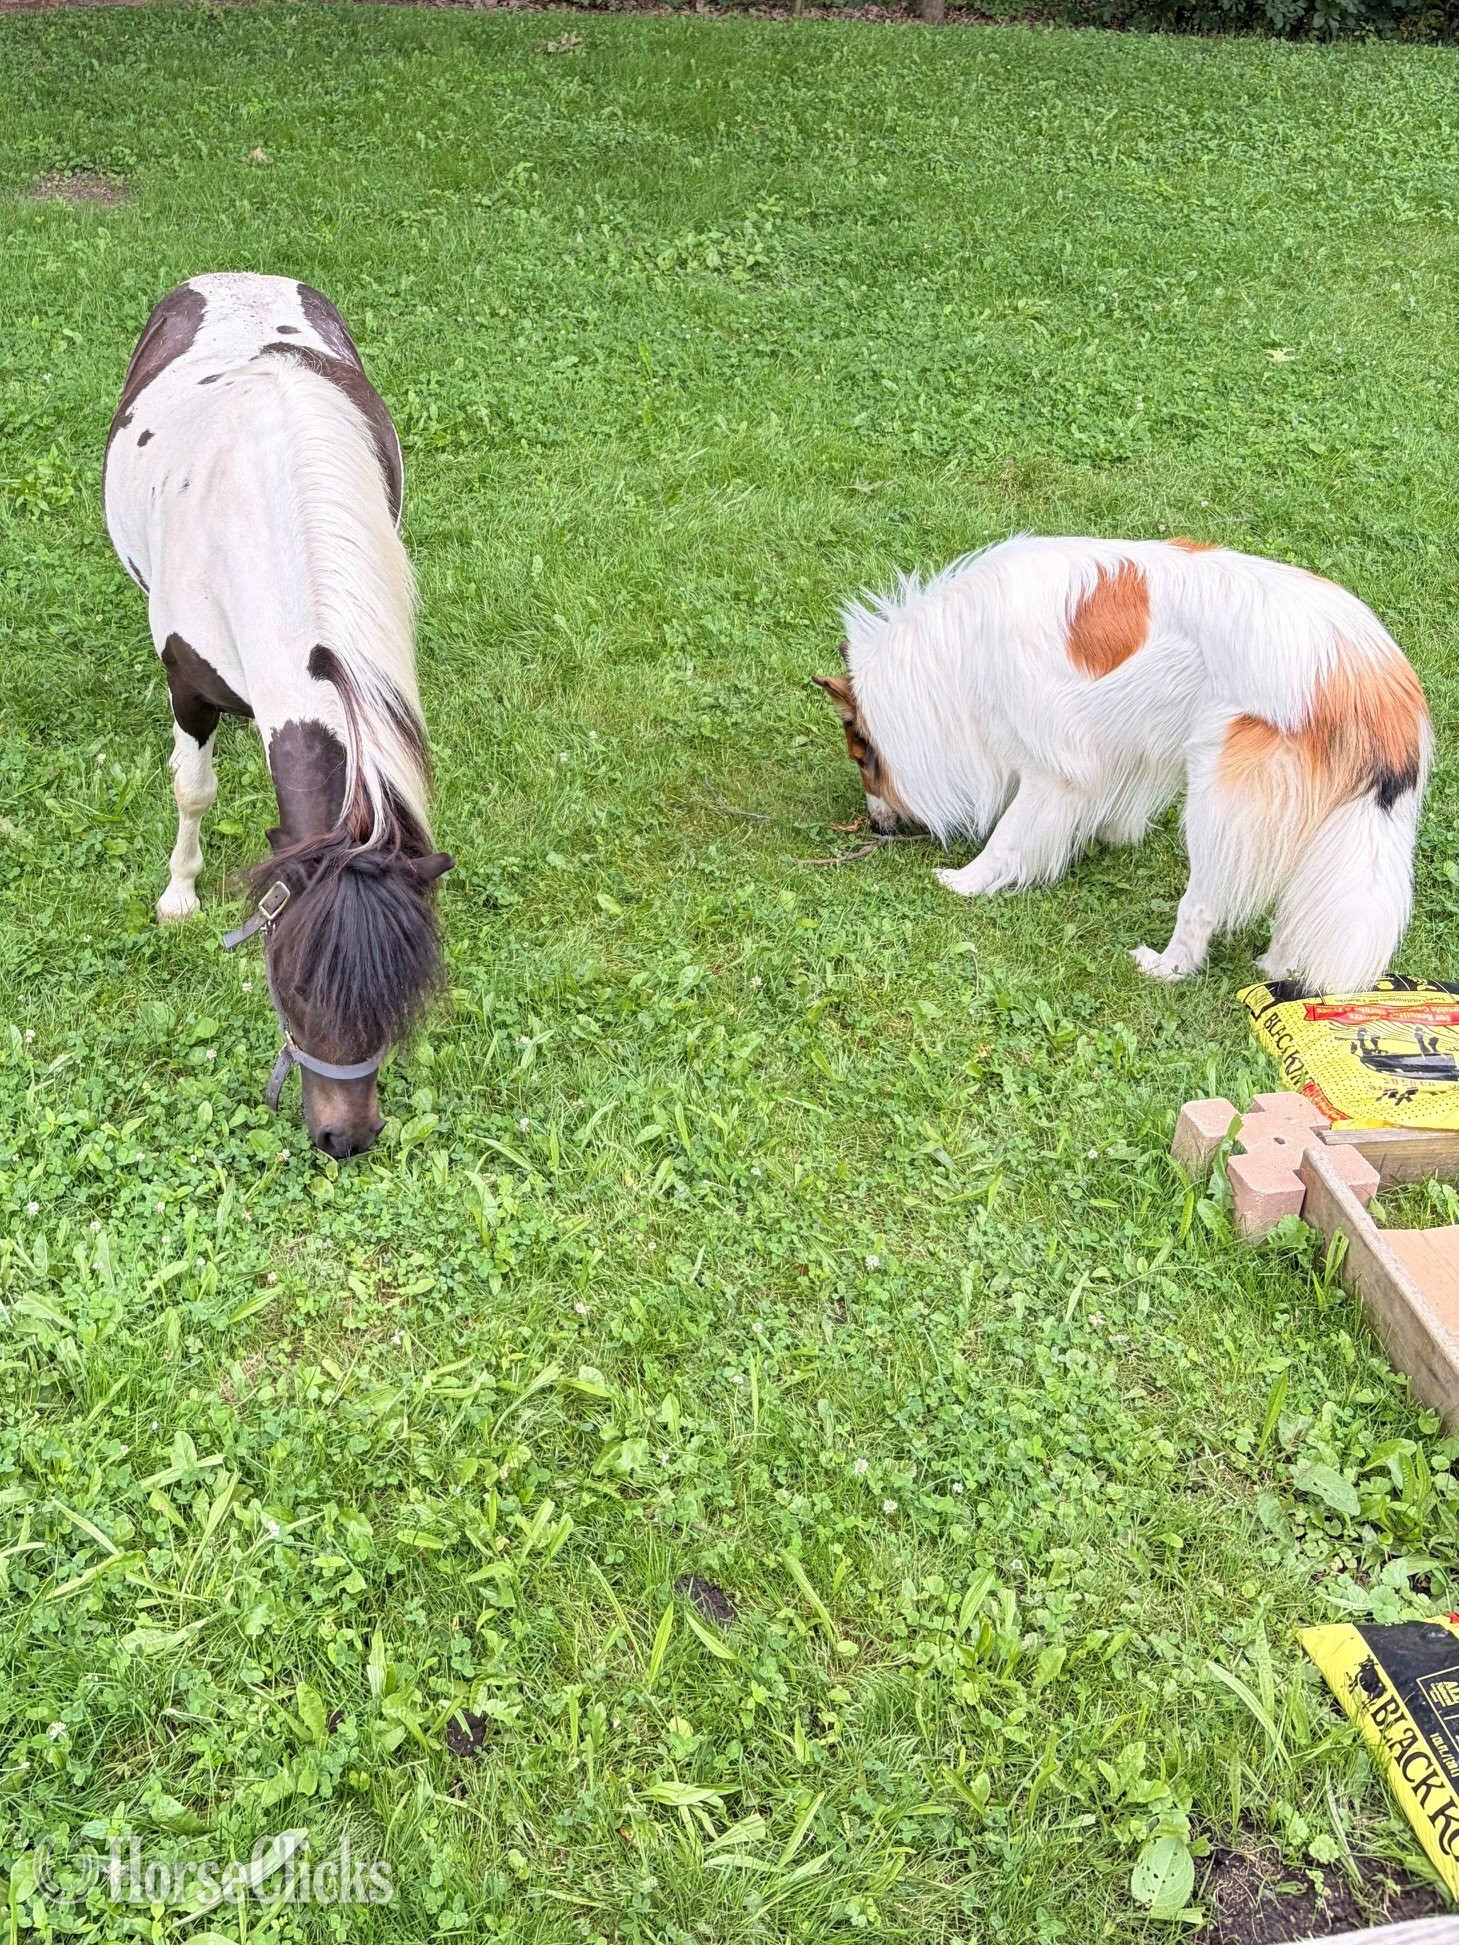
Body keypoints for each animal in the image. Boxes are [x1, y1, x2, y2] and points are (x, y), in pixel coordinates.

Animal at [104, 273, 452, 1158]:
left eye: (400, 994)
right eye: (290, 982)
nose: (344, 1137)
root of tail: (236, 278)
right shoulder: (189, 684)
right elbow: (193, 789)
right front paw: (179, 895)